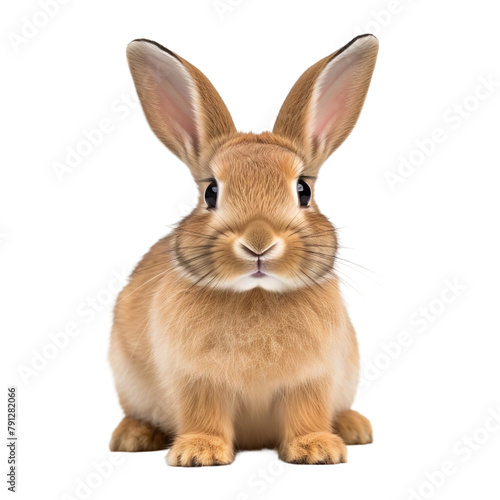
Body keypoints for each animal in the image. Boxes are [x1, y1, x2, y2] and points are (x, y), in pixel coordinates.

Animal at [109, 34, 378, 464]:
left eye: (303, 190)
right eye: (210, 192)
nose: (258, 244)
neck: (256, 293)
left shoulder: (312, 379)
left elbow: (306, 412)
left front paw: (317, 449)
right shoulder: (197, 381)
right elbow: (204, 414)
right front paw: (198, 454)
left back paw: (354, 427)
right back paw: (132, 436)